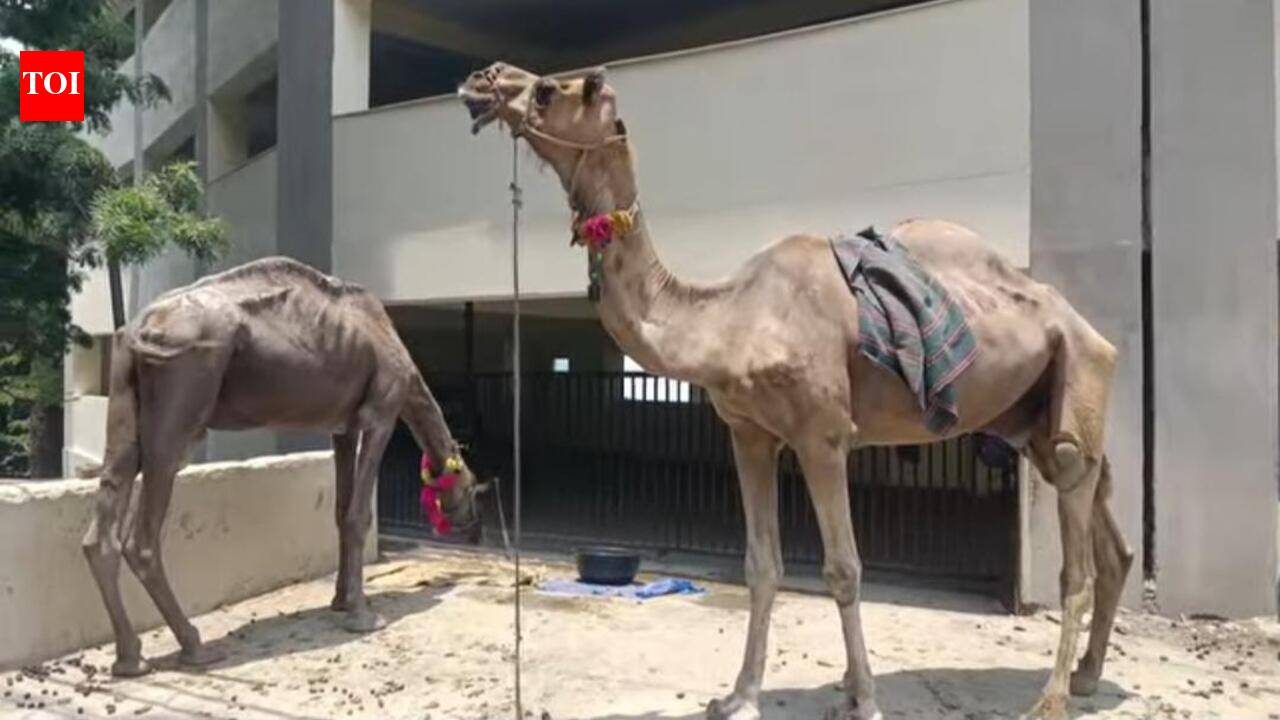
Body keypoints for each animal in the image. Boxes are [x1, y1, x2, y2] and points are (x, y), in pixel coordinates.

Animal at [81, 257, 482, 677]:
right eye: (472, 487)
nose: (472, 520)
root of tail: (136, 329)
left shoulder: (343, 427)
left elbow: (340, 512)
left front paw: (339, 600)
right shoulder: (381, 411)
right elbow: (358, 515)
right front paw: (361, 614)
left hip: (124, 396)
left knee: (103, 522)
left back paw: (130, 658)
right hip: (182, 395)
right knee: (143, 535)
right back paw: (195, 646)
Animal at [457, 63, 1132, 720]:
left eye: (551, 88)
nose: (482, 80)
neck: (730, 319)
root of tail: (1088, 327)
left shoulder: (822, 434)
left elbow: (844, 569)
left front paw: (863, 699)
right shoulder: (750, 435)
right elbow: (761, 565)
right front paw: (739, 697)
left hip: (1077, 373)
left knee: (1076, 543)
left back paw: (1050, 699)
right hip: (1035, 414)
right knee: (1106, 525)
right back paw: (1088, 676)